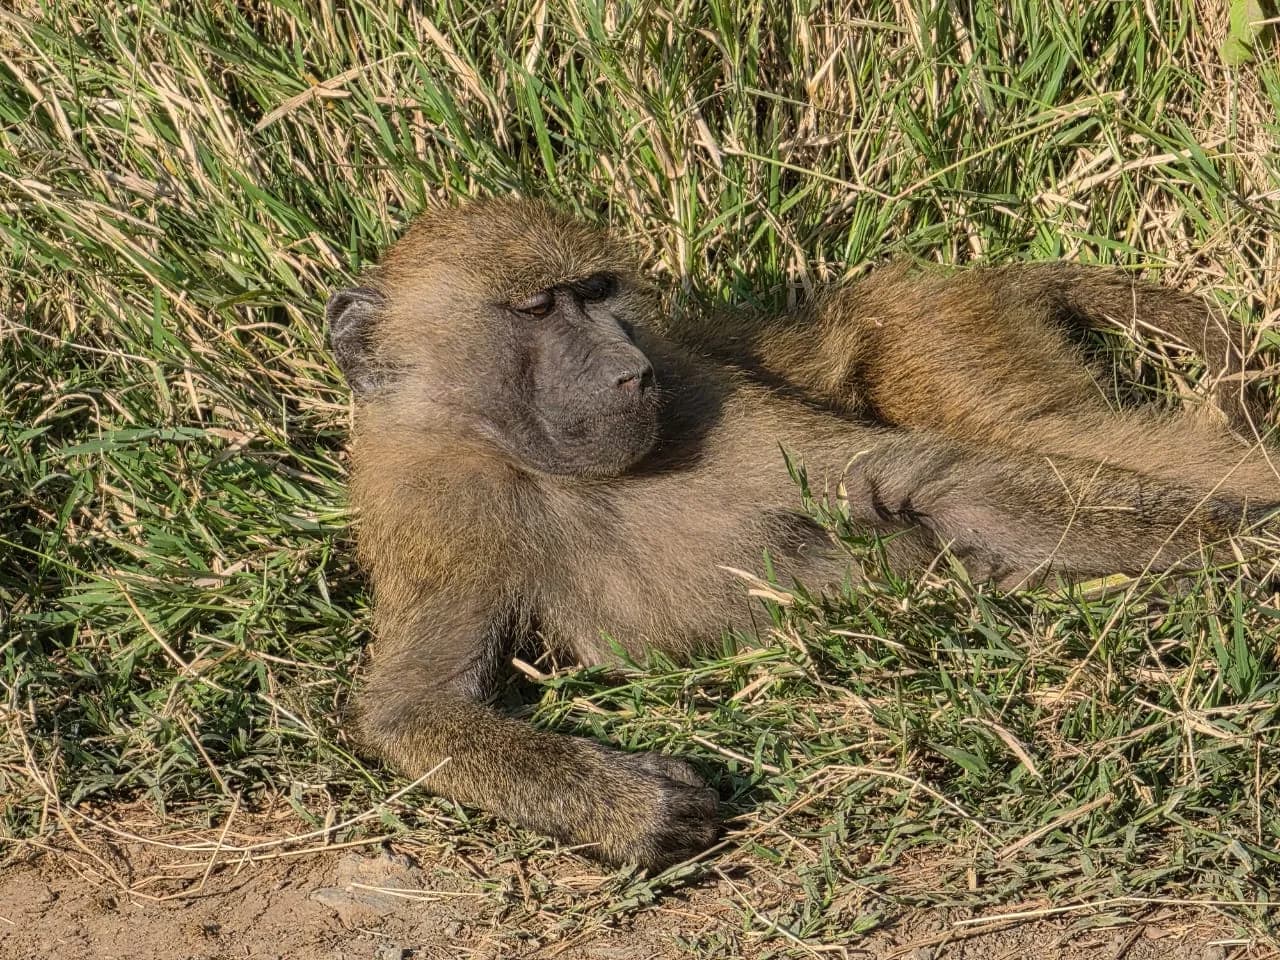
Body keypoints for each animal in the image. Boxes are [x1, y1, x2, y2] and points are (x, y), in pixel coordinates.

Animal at [326, 198, 1278, 870]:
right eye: (536, 309)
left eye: (595, 294)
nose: (632, 374)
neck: (547, 472)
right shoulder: (435, 513)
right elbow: (416, 707)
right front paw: (638, 810)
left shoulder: (706, 392)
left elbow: (931, 477)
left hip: (937, 341)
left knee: (1028, 438)